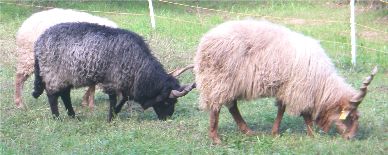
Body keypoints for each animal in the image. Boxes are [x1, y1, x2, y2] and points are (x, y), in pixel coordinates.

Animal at [33, 22, 196, 121]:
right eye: (168, 101)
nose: (167, 118)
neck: (139, 67)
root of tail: (39, 40)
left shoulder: (124, 81)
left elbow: (124, 98)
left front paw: (116, 113)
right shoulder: (113, 79)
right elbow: (113, 99)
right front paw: (111, 118)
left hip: (67, 75)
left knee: (65, 94)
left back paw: (73, 116)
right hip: (54, 73)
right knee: (52, 95)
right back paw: (57, 118)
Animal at [196, 19, 378, 144]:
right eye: (351, 116)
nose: (351, 138)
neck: (322, 85)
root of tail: (204, 41)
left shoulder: (288, 87)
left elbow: (282, 109)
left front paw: (275, 132)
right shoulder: (301, 88)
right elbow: (305, 113)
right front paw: (312, 135)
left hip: (227, 82)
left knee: (231, 105)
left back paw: (247, 131)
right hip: (219, 80)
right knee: (216, 107)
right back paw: (216, 138)